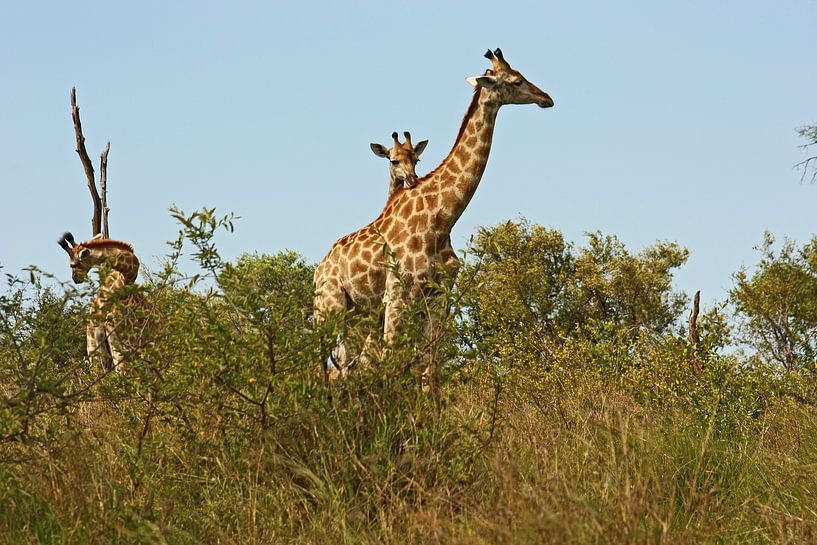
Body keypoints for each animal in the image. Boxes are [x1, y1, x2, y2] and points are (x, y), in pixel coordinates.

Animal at [314, 49, 556, 384]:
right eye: (517, 80)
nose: (547, 98)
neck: (442, 218)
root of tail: (319, 268)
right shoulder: (398, 295)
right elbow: (392, 361)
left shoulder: (439, 294)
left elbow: (430, 367)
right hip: (329, 306)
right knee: (322, 365)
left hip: (357, 313)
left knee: (345, 367)